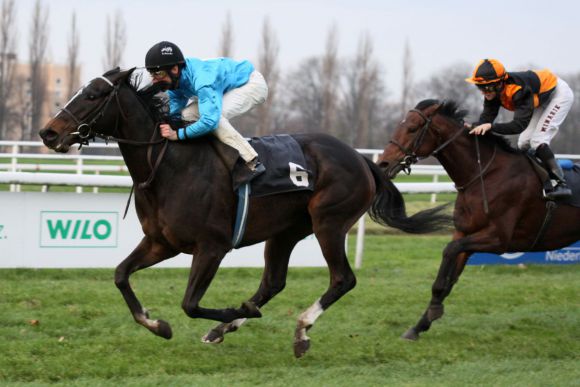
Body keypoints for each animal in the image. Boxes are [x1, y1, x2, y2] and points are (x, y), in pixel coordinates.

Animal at [38, 69, 448, 358]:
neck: (167, 163)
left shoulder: (212, 246)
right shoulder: (160, 242)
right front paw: (158, 325)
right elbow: (121, 275)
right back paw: (231, 326)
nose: (47, 133)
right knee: (273, 282)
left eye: (92, 95)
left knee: (342, 279)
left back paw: (300, 330)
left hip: (329, 222)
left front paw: (232, 313)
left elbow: (190, 304)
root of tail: (363, 161)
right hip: (285, 231)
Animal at [378, 98, 580, 342]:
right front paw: (420, 325)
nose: (383, 164)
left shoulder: (499, 239)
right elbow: (447, 277)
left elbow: (450, 251)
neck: (484, 174)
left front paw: (432, 312)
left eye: (412, 128)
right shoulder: (465, 232)